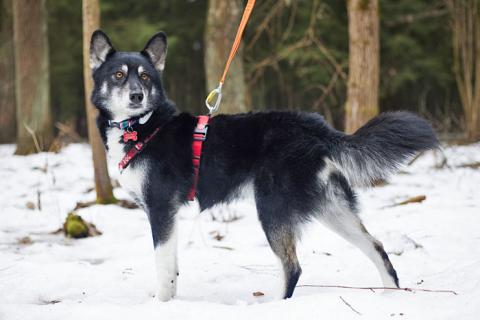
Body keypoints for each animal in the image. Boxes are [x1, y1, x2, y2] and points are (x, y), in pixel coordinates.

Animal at [89, 30, 438, 302]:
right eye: (118, 75)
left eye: (145, 76)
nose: (137, 95)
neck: (142, 126)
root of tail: (314, 126)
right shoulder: (168, 214)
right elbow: (172, 267)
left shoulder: (161, 208)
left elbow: (163, 268)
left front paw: (162, 305)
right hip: (331, 208)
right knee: (376, 246)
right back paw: (391, 295)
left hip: (273, 208)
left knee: (293, 267)